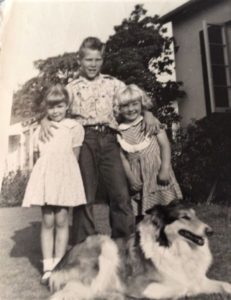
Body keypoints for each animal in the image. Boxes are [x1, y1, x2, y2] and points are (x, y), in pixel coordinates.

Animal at [49, 202, 231, 300]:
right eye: (185, 217)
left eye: (196, 215)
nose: (210, 231)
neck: (174, 248)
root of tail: (57, 267)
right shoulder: (140, 285)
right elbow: (181, 288)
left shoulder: (199, 280)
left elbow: (226, 284)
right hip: (104, 246)